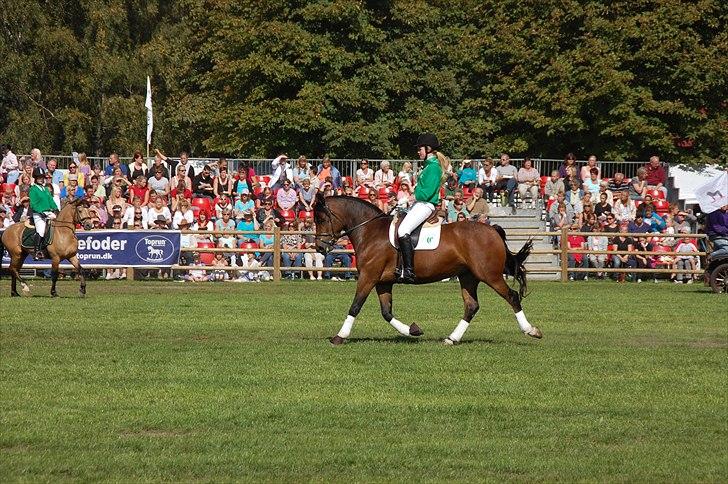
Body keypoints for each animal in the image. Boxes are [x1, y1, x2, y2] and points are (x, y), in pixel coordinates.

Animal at [316, 192, 544, 344]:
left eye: (321, 218)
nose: (319, 247)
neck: (370, 231)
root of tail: (492, 230)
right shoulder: (382, 282)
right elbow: (387, 312)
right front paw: (413, 330)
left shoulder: (368, 277)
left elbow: (355, 306)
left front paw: (339, 337)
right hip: (468, 276)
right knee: (471, 306)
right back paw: (452, 338)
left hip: (490, 275)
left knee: (512, 296)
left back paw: (531, 330)